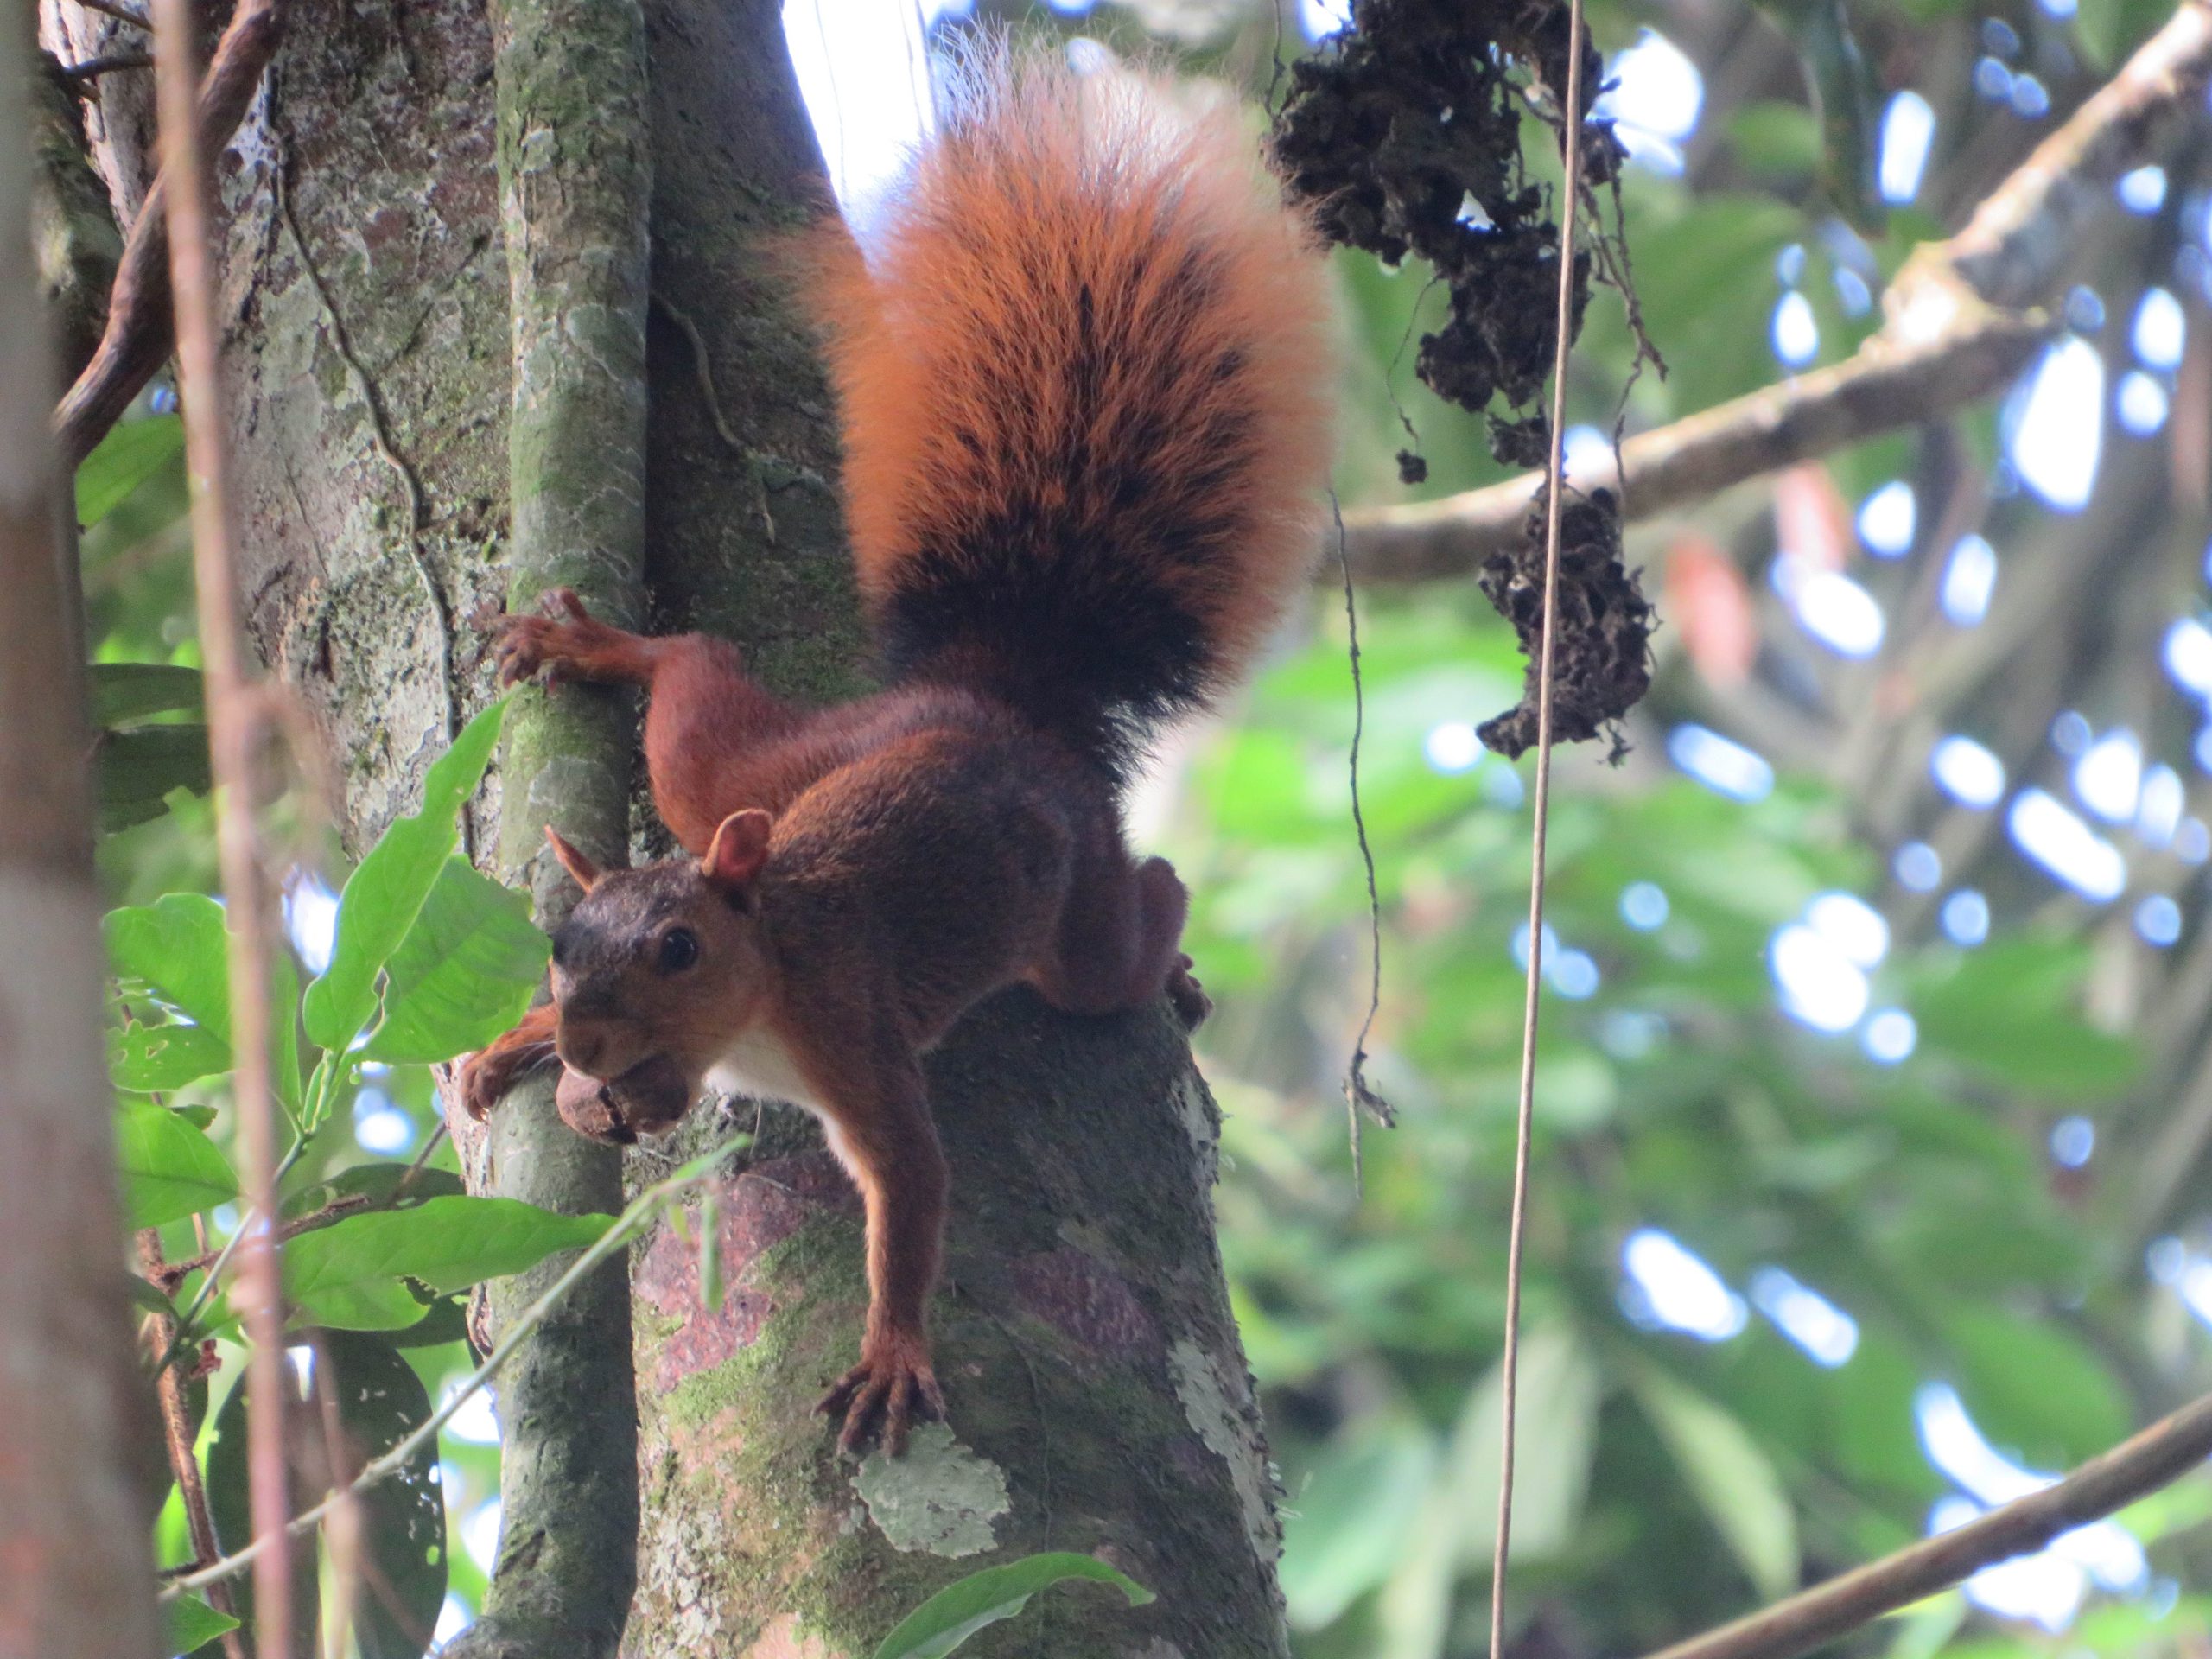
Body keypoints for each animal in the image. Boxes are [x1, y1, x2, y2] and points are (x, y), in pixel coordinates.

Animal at [458, 48, 1334, 1455]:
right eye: (557, 944)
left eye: (679, 949)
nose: (586, 1048)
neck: (763, 979)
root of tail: (997, 702)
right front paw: (513, 1044)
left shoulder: (851, 1031)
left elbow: (914, 1196)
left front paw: (892, 1355)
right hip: (765, 772)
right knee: (694, 681)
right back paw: (590, 647)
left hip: (1066, 915)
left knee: (1119, 941)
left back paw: (1173, 936)